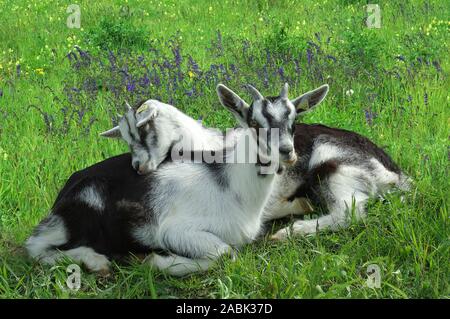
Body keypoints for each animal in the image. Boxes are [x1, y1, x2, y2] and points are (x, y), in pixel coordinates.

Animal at [25, 84, 316, 276]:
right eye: (254, 123)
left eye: (293, 121)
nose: (287, 152)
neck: (233, 186)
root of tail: (67, 188)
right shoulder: (176, 231)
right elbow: (225, 254)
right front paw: (156, 262)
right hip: (71, 222)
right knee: (35, 246)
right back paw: (97, 262)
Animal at [103, 84, 410, 241]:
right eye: (125, 137)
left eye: (144, 127)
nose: (139, 167)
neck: (207, 144)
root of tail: (395, 173)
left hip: (335, 168)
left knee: (348, 214)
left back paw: (289, 231)